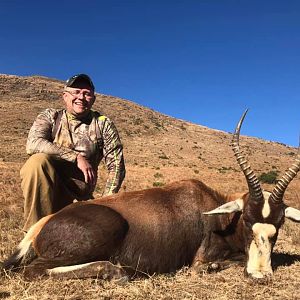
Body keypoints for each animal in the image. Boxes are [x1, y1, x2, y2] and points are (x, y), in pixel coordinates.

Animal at [0, 110, 300, 282]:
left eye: (279, 225)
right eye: (248, 221)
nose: (260, 275)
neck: (216, 214)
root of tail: (41, 225)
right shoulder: (202, 259)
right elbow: (216, 264)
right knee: (32, 270)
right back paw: (116, 271)